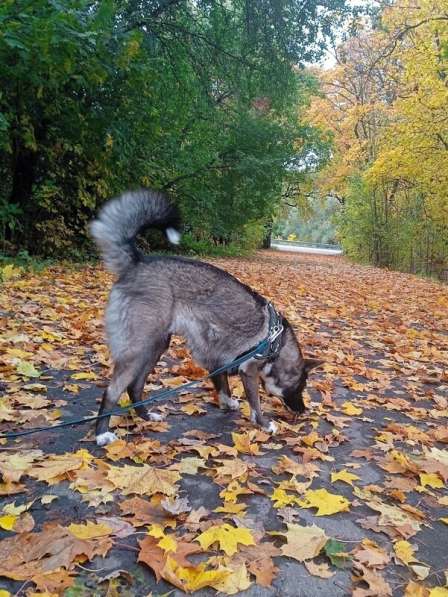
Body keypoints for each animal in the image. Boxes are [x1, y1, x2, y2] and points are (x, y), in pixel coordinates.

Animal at [90, 189, 322, 444]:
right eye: (300, 387)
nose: (303, 410)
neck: (276, 341)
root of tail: (137, 262)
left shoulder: (217, 361)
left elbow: (223, 387)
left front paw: (227, 403)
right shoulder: (248, 370)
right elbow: (255, 404)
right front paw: (263, 423)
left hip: (155, 347)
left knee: (135, 387)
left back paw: (146, 416)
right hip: (138, 350)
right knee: (112, 391)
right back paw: (102, 433)